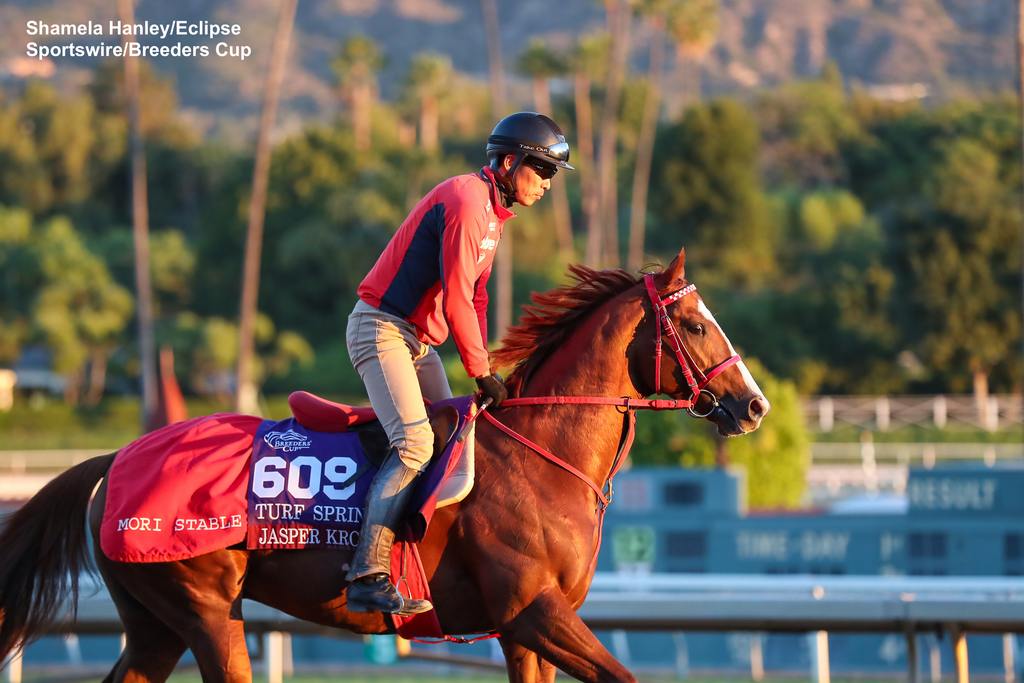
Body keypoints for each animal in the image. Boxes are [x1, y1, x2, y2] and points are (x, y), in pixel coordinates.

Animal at [0, 248, 770, 679]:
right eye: (695, 324)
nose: (754, 404)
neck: (541, 454)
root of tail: (115, 459)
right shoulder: (536, 612)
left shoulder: (524, 632)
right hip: (206, 609)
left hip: (156, 626)